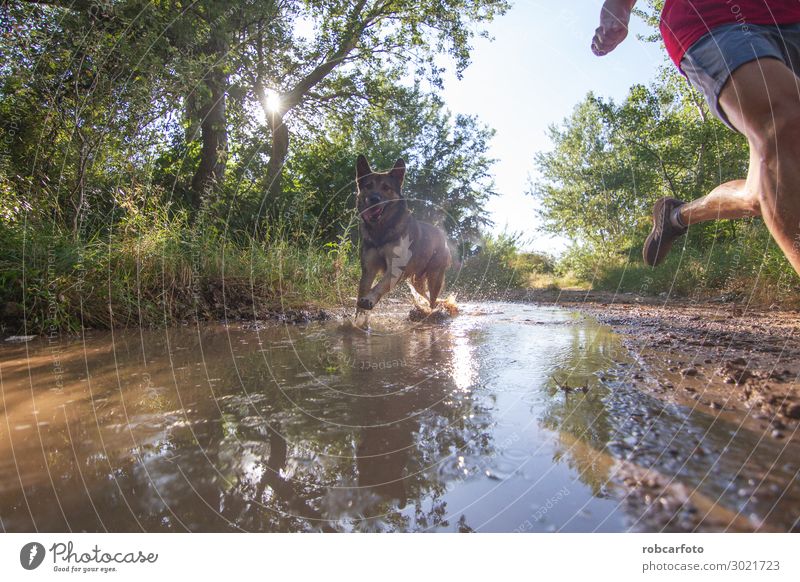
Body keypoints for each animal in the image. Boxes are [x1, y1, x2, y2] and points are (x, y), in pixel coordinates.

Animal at [354, 155, 450, 320]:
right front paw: (358, 321)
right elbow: (364, 290)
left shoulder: (395, 269)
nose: (374, 199)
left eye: (386, 187)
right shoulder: (368, 268)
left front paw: (368, 300)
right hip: (417, 280)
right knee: (425, 295)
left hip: (435, 277)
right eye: (368, 186)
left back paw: (432, 313)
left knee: (432, 299)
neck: (382, 231)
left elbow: (379, 286)